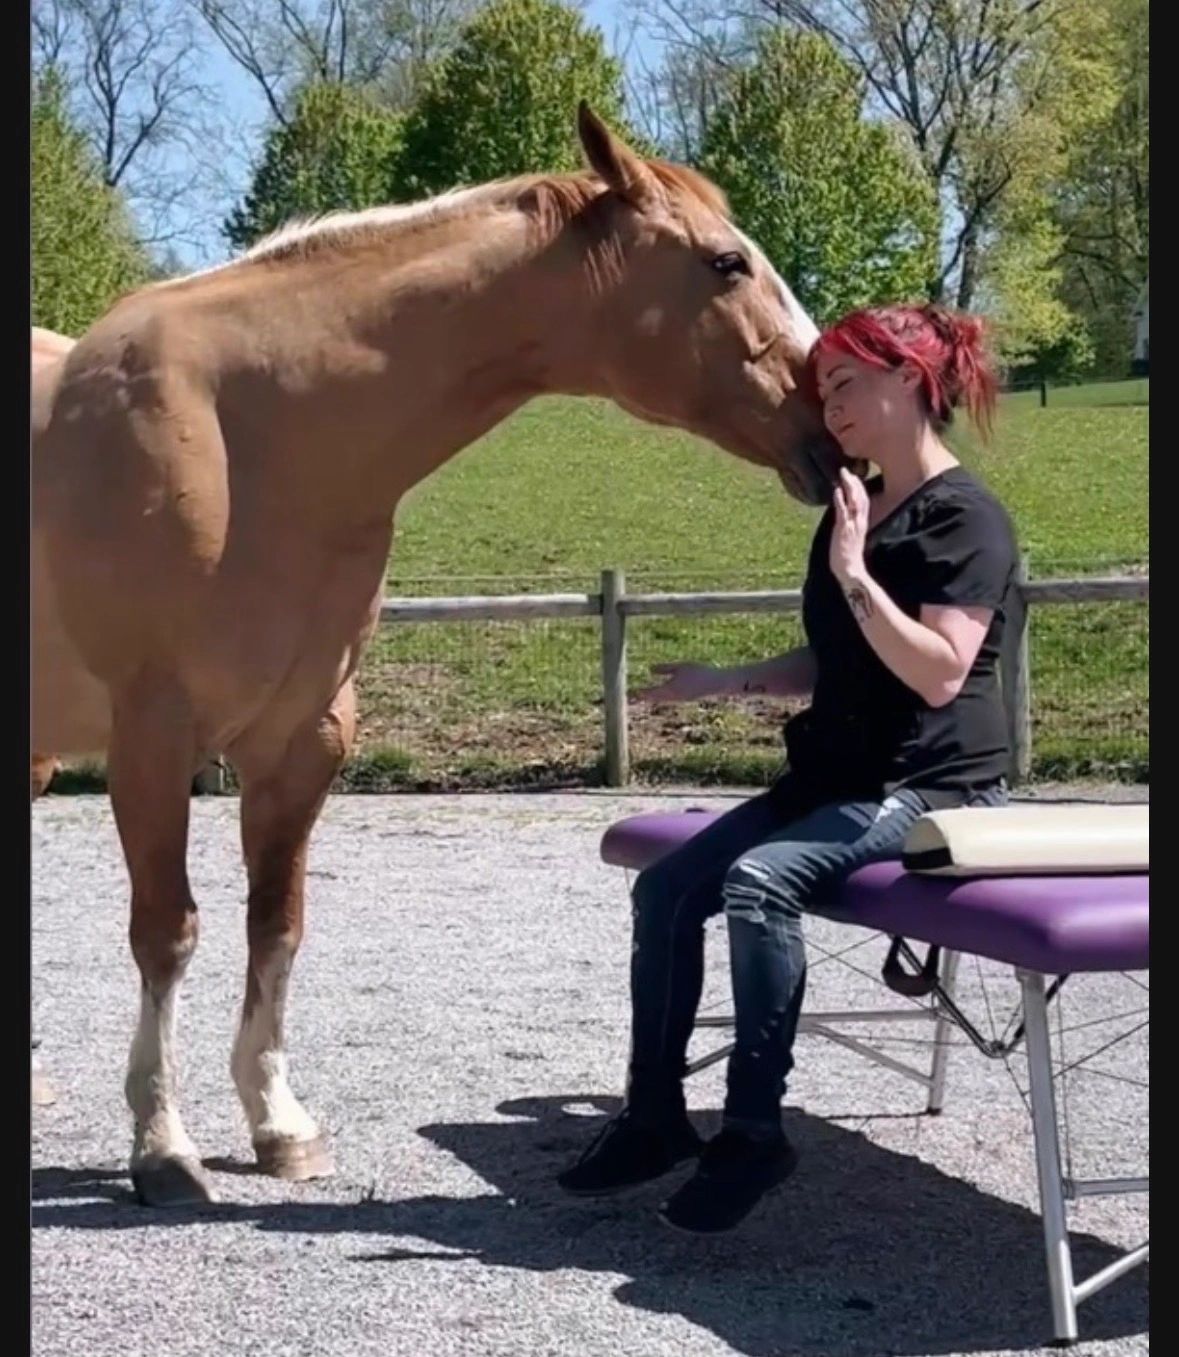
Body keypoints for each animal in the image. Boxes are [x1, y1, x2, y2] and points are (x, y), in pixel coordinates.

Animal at [35, 103, 848, 1207]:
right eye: (727, 262)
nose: (833, 429)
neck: (250, 432)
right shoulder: (153, 741)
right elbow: (169, 932)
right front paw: (163, 1146)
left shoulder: (303, 741)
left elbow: (275, 924)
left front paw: (278, 1122)